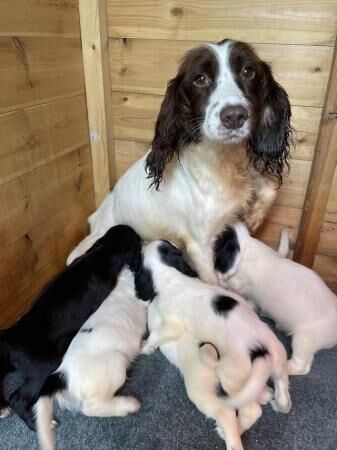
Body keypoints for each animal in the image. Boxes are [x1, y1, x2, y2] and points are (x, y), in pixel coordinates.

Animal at [0, 225, 140, 428]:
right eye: (138, 241)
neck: (101, 252)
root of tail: (11, 336)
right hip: (44, 366)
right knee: (18, 398)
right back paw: (38, 423)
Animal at [73, 39, 292, 284]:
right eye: (200, 78)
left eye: (248, 71)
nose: (234, 116)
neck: (222, 161)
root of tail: (95, 219)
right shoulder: (199, 245)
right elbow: (212, 282)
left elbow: (270, 187)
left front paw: (254, 218)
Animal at [135, 239, 290, 422]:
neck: (172, 277)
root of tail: (261, 350)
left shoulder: (172, 325)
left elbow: (156, 335)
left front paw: (145, 347)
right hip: (279, 360)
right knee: (283, 391)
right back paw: (279, 404)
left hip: (231, 375)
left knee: (251, 409)